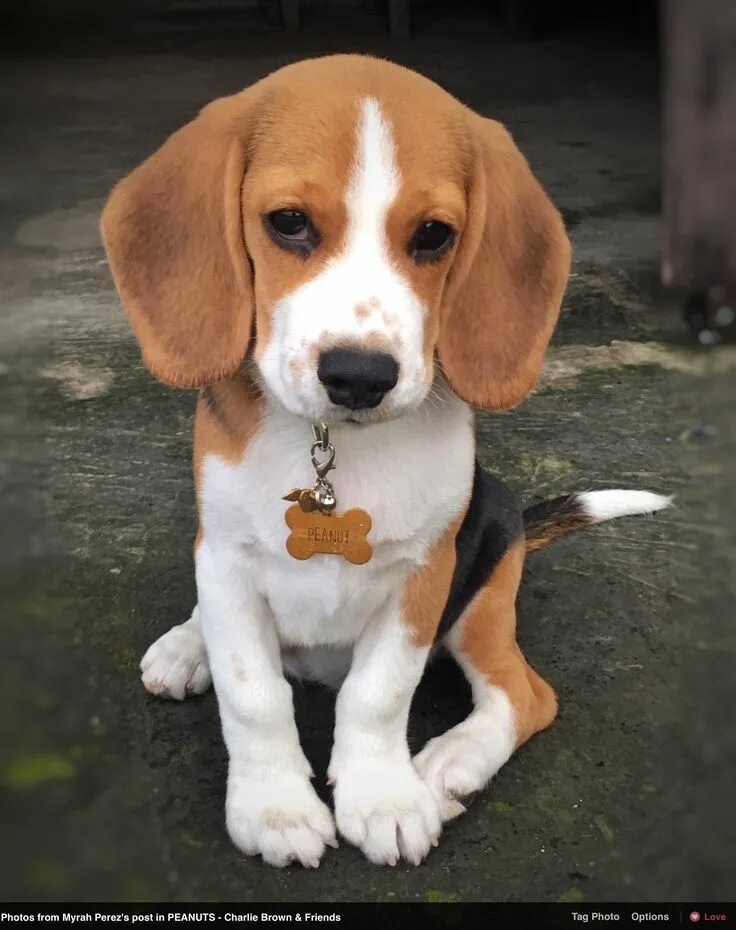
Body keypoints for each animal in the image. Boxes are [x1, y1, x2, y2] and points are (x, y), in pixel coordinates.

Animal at [100, 54, 668, 872]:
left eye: (434, 236)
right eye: (289, 222)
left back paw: (447, 764)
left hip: (484, 593)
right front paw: (275, 808)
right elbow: (254, 694)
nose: (359, 376)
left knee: (524, 695)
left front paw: (384, 799)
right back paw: (187, 645)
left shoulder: (423, 576)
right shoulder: (228, 558)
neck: (336, 445)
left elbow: (377, 694)